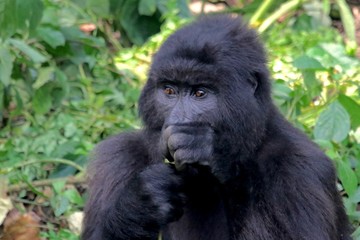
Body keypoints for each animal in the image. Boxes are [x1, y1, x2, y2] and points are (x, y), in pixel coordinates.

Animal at [82, 15, 352, 240]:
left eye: (200, 93)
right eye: (169, 91)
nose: (178, 120)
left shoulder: (301, 169)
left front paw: (210, 153)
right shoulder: (117, 157)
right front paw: (141, 203)